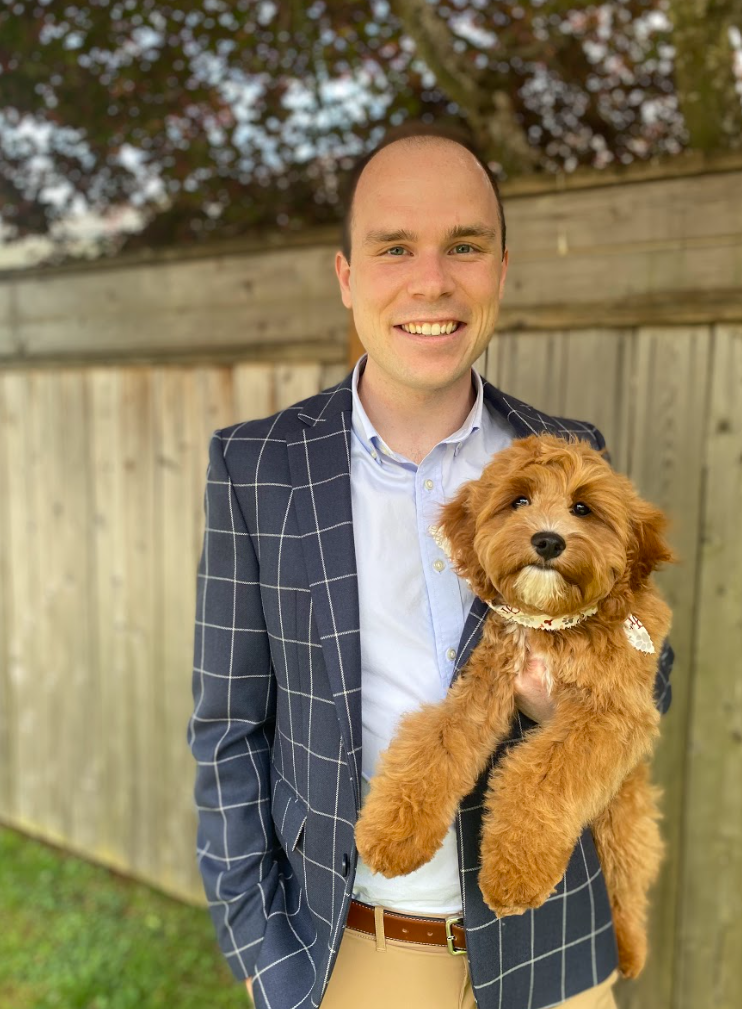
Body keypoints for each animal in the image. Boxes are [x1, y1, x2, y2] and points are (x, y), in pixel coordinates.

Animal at [353, 433, 674, 976]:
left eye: (582, 508)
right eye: (519, 500)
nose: (547, 540)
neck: (551, 624)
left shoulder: (611, 715)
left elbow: (539, 778)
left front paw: (512, 875)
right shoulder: (482, 690)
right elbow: (435, 743)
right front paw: (394, 834)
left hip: (624, 821)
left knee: (626, 888)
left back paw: (629, 951)